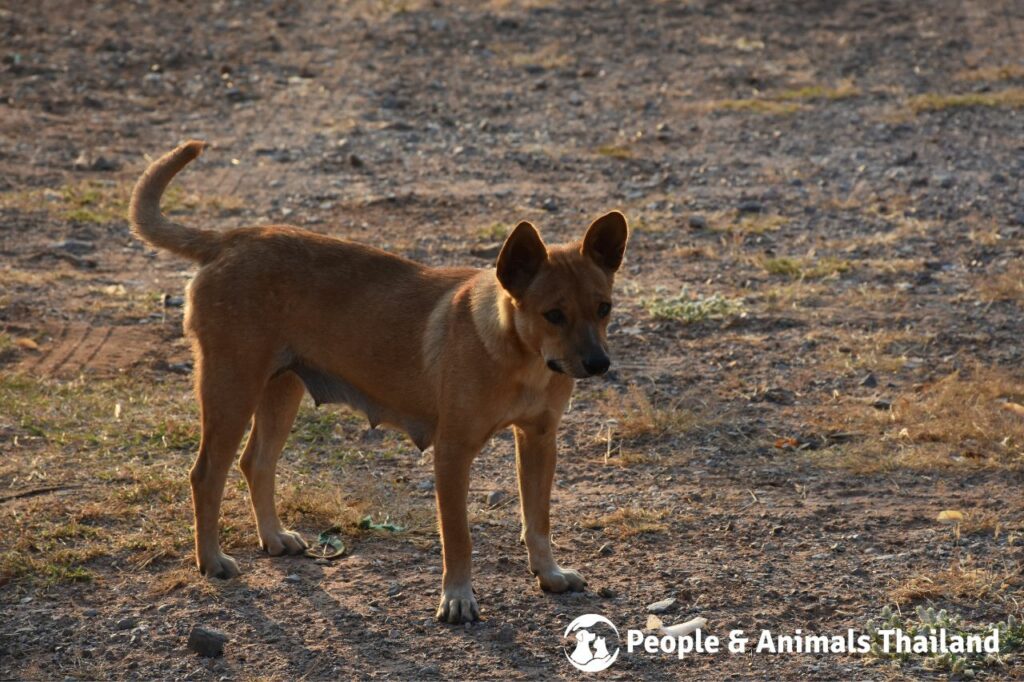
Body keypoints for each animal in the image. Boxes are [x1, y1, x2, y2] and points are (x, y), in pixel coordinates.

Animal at [124, 142, 626, 622]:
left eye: (604, 308)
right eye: (553, 315)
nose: (599, 364)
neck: (521, 358)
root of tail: (229, 239)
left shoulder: (540, 440)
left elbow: (537, 520)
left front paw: (549, 574)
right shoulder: (453, 452)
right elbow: (459, 537)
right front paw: (457, 598)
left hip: (280, 391)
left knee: (256, 464)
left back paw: (273, 537)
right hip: (231, 389)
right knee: (206, 474)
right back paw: (211, 560)